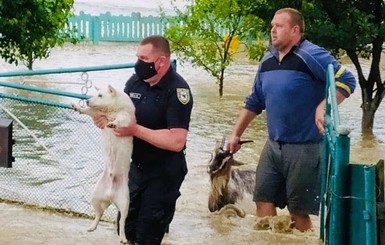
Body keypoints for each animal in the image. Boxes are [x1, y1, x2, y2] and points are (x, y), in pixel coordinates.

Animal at [72, 85, 135, 244]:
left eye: (100, 95)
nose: (87, 100)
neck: (110, 110)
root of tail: (110, 195)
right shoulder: (97, 113)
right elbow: (89, 111)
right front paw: (78, 107)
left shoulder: (126, 116)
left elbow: (120, 119)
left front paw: (113, 123)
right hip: (95, 195)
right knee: (99, 213)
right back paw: (92, 226)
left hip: (125, 202)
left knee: (122, 221)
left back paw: (123, 238)